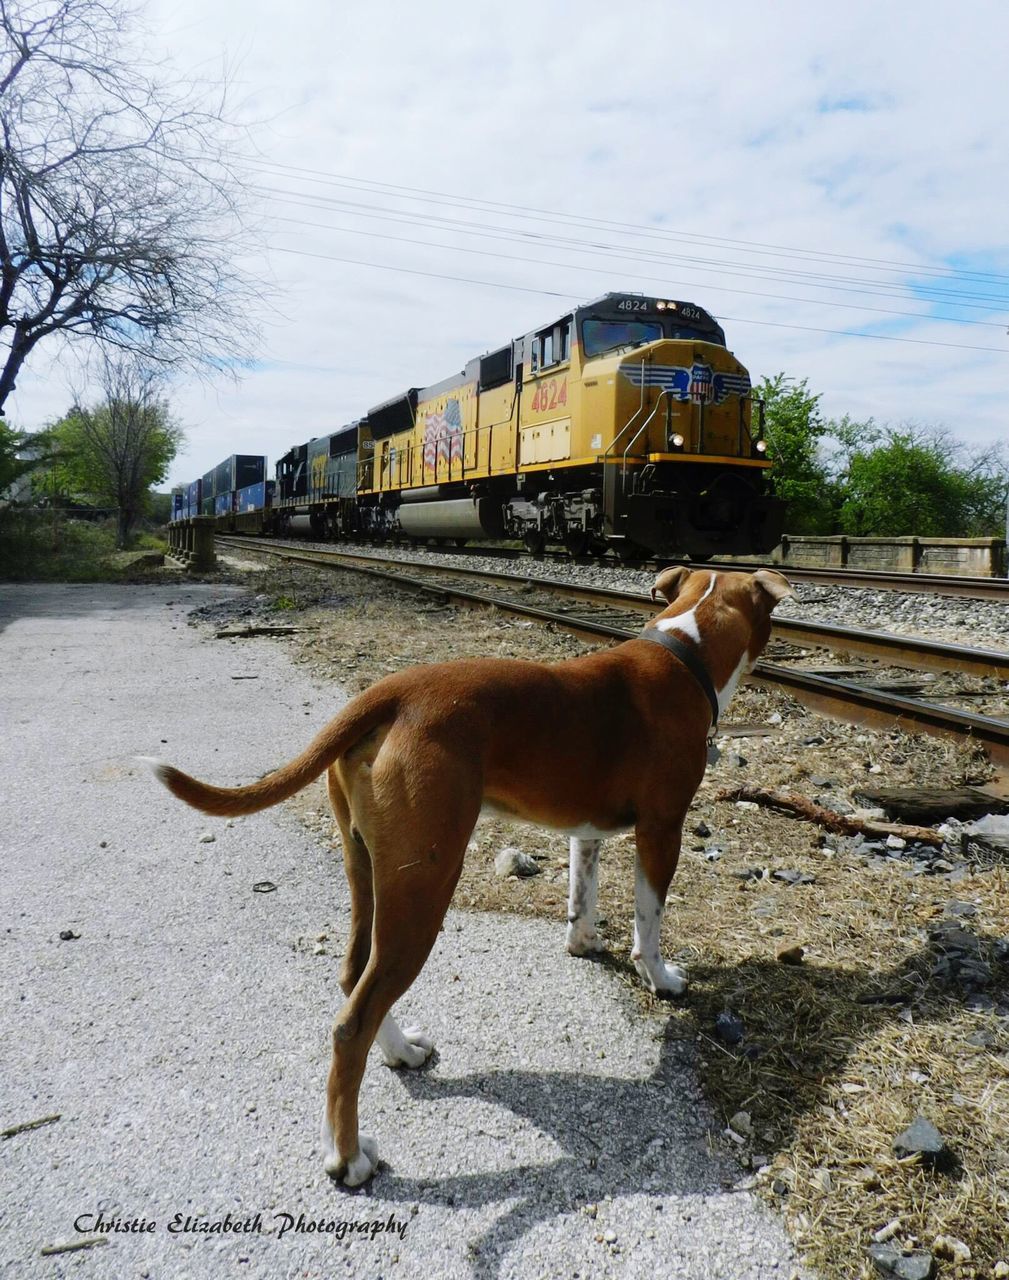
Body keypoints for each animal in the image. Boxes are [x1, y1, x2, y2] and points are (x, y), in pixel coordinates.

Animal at [142, 565, 793, 1182]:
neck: (686, 646)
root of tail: (391, 693)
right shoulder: (661, 831)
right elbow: (649, 920)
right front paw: (660, 976)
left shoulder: (585, 830)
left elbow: (581, 893)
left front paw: (584, 941)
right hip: (425, 890)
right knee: (352, 1022)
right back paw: (347, 1158)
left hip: (371, 875)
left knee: (355, 977)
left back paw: (401, 1052)